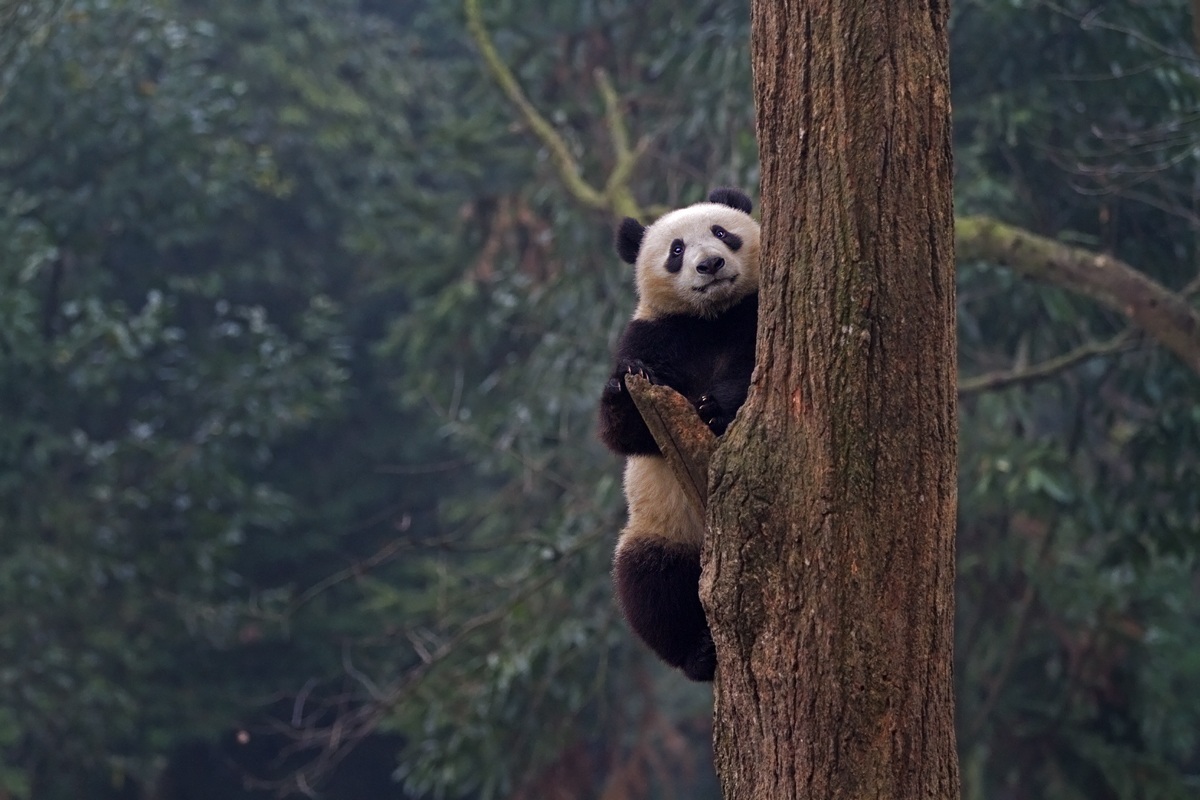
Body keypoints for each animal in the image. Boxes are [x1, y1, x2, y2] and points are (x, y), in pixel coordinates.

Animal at [597, 187, 760, 681]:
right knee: (650, 585)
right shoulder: (652, 333)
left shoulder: (752, 317)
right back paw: (698, 654)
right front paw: (622, 387)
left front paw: (712, 409)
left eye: (721, 232)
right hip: (660, 532)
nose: (710, 264)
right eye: (676, 250)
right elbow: (625, 437)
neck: (709, 319)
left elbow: (749, 373)